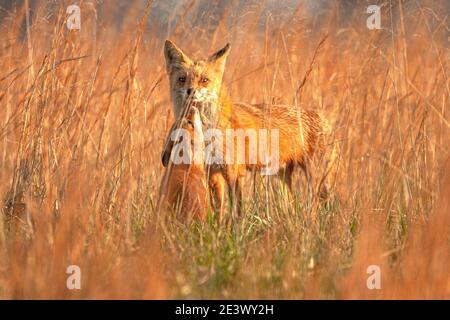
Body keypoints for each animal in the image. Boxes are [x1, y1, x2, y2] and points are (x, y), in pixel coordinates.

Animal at [163, 38, 336, 216]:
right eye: (182, 79)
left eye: (204, 80)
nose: (191, 91)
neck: (207, 130)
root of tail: (322, 117)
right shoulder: (212, 173)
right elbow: (217, 211)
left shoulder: (234, 172)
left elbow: (236, 211)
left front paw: (235, 224)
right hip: (282, 179)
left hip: (317, 178)